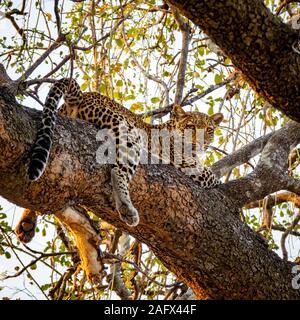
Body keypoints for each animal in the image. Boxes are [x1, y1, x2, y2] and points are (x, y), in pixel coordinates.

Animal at [15, 78, 223, 242]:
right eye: (190, 127)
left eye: (209, 130)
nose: (200, 143)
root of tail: (82, 95)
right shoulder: (185, 163)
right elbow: (211, 176)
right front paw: (219, 182)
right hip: (128, 132)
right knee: (118, 170)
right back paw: (126, 209)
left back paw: (27, 222)